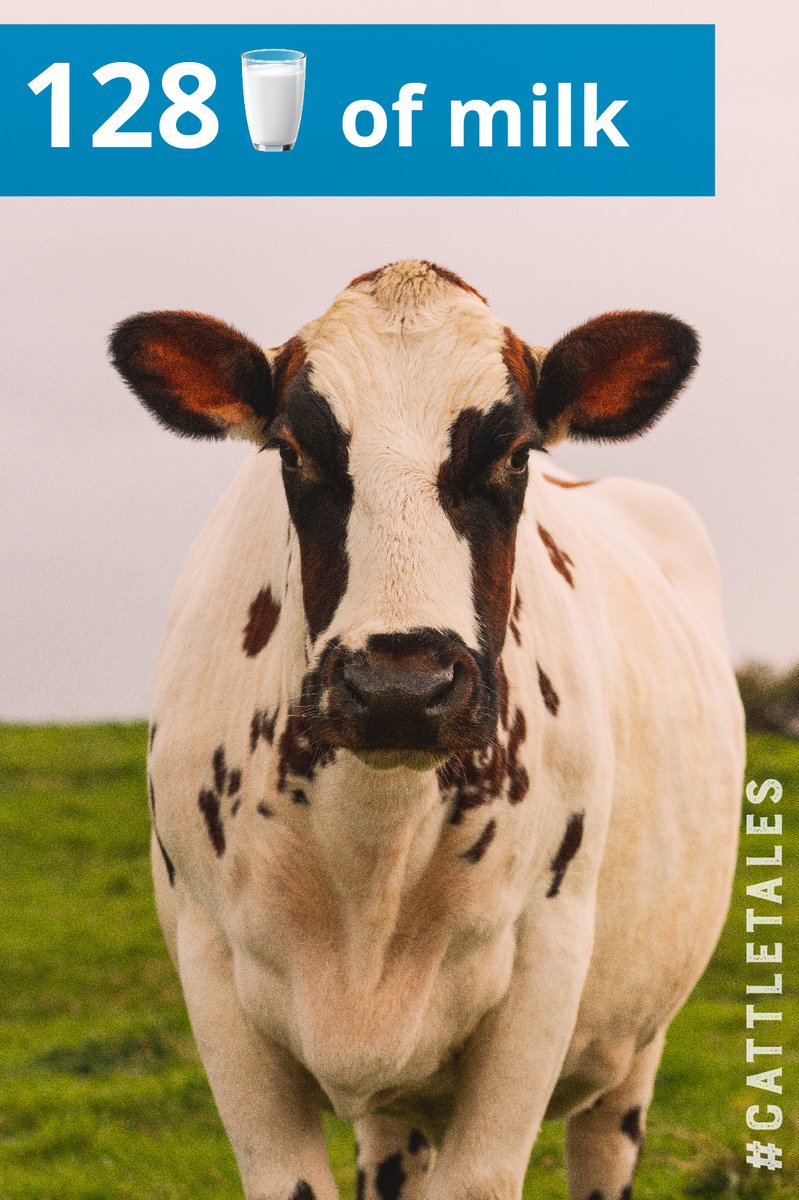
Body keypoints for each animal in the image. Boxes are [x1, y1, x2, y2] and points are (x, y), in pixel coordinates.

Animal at [109, 260, 744, 1200]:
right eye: (293, 452)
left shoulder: (545, 968)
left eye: (514, 453)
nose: (400, 687)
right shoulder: (213, 975)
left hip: (632, 1052)